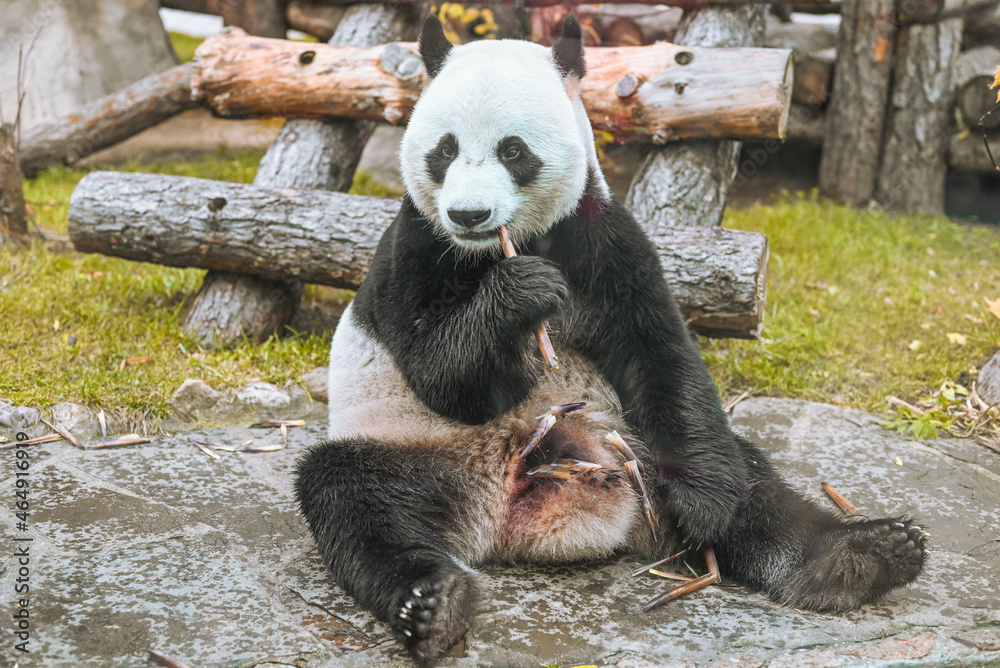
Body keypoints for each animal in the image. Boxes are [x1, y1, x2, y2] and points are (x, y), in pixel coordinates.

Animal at [295, 15, 927, 667]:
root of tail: (506, 511)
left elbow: (658, 349)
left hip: (629, 439)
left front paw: (706, 510)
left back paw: (859, 556)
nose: (469, 215)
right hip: (417, 450)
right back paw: (430, 606)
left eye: (513, 150)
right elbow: (442, 378)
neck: (500, 248)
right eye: (444, 149)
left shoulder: (601, 236)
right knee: (354, 501)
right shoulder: (415, 246)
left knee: (747, 479)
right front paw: (521, 293)